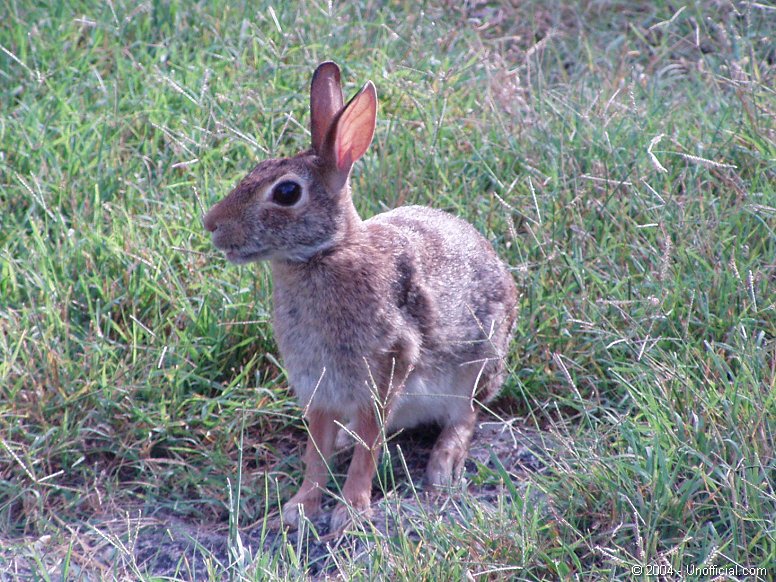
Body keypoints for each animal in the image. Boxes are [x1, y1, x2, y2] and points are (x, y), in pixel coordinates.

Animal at [203, 61, 520, 532]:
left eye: (286, 192)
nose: (211, 223)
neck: (327, 253)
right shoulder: (318, 388)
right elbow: (315, 452)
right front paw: (297, 509)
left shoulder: (385, 370)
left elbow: (369, 445)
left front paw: (350, 512)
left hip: (477, 365)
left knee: (464, 418)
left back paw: (441, 469)